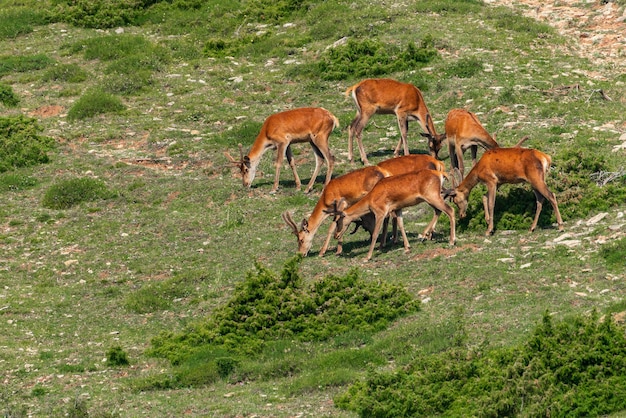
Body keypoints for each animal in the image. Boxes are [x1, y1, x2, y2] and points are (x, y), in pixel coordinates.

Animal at [280, 153, 442, 256]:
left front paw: (327, 251)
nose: (301, 254)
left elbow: (333, 226)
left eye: (301, 239)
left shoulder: (341, 203)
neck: (326, 197)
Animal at [326, 169, 454, 262]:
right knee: (438, 211)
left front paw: (367, 257)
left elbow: (376, 233)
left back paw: (451, 241)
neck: (371, 197)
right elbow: (401, 225)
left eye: (338, 220)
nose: (336, 235)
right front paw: (407, 248)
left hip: (432, 197)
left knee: (450, 210)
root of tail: (440, 174)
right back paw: (423, 235)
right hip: (431, 199)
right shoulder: (398, 209)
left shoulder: (380, 213)